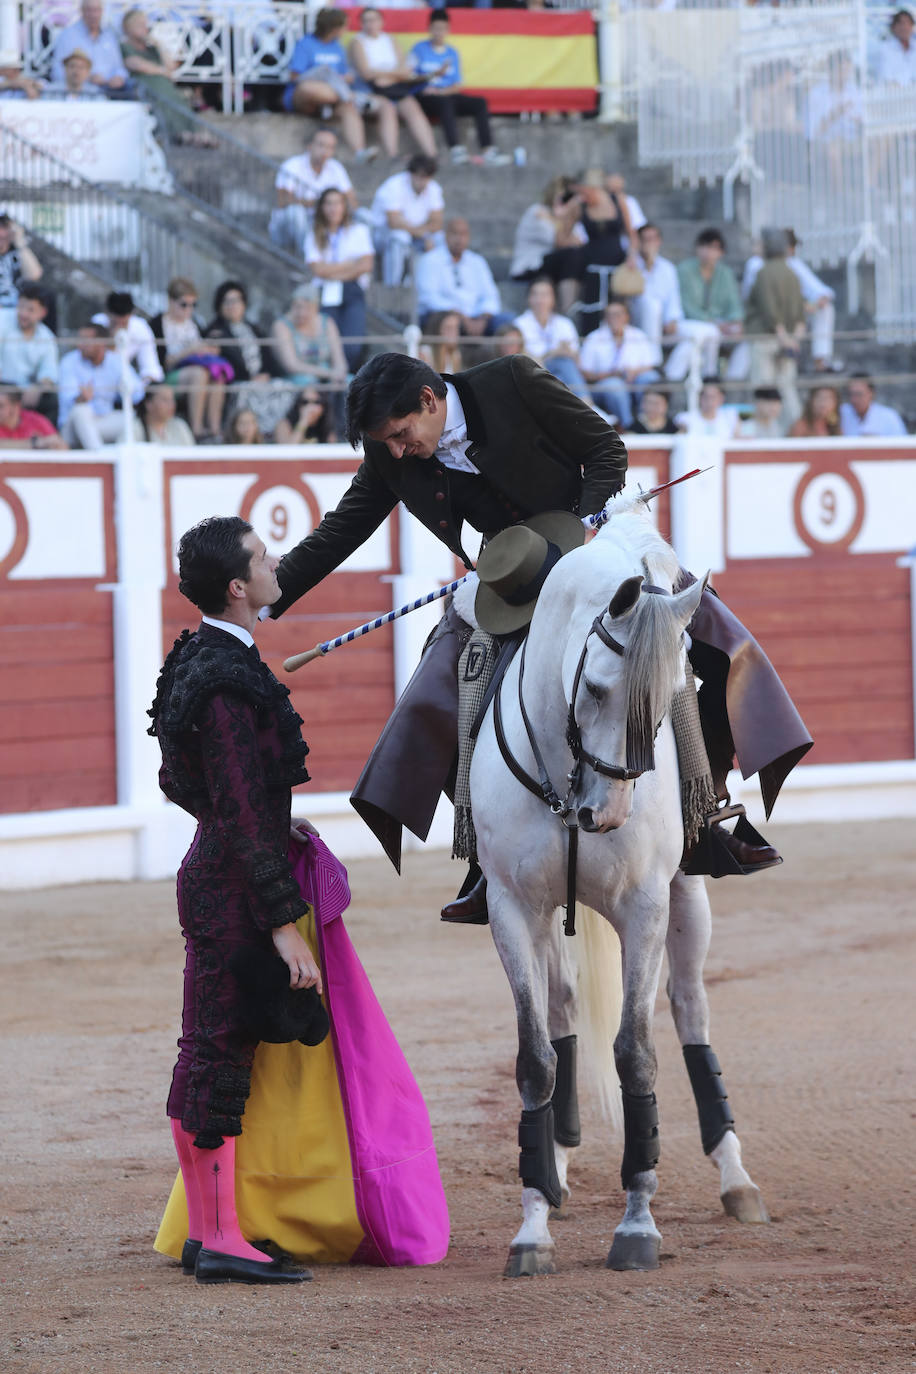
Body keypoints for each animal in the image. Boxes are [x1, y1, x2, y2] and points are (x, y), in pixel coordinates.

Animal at [472, 505, 769, 1275]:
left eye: (671, 697)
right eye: (599, 690)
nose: (605, 815)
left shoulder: (644, 905)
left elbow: (637, 1052)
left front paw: (638, 1224)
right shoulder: (512, 908)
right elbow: (535, 1059)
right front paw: (533, 1224)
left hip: (686, 899)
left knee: (690, 1009)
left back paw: (735, 1178)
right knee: (564, 1009)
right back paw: (556, 1165)